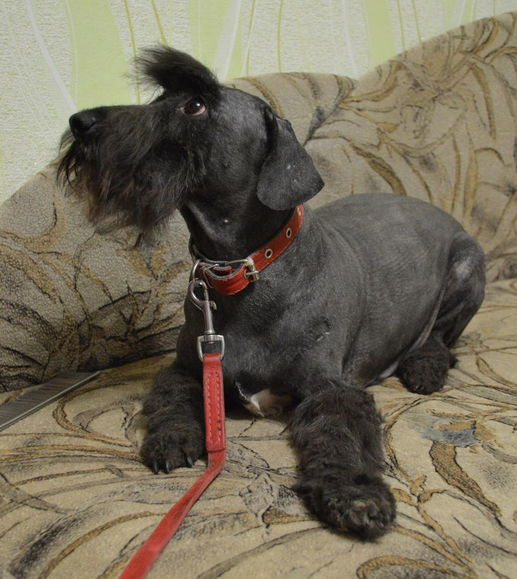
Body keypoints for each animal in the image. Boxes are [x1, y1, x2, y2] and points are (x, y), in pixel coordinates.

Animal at [59, 47, 485, 540]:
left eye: (195, 105)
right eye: (162, 98)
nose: (80, 121)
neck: (243, 270)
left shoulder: (328, 388)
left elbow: (340, 437)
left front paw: (355, 495)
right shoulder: (188, 367)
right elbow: (170, 399)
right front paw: (173, 437)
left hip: (468, 268)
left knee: (441, 338)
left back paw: (424, 367)